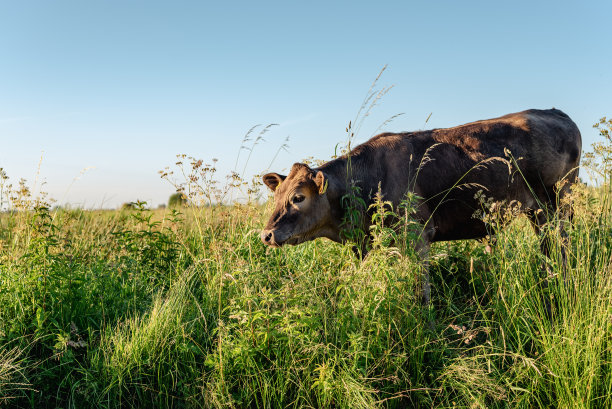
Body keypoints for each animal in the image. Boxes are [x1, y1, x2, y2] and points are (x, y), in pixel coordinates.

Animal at [260, 110, 580, 302]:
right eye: (276, 197)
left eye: (298, 197)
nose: (266, 235)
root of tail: (554, 112)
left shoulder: (417, 236)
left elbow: (421, 292)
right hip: (538, 212)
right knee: (549, 249)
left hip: (556, 205)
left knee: (562, 248)